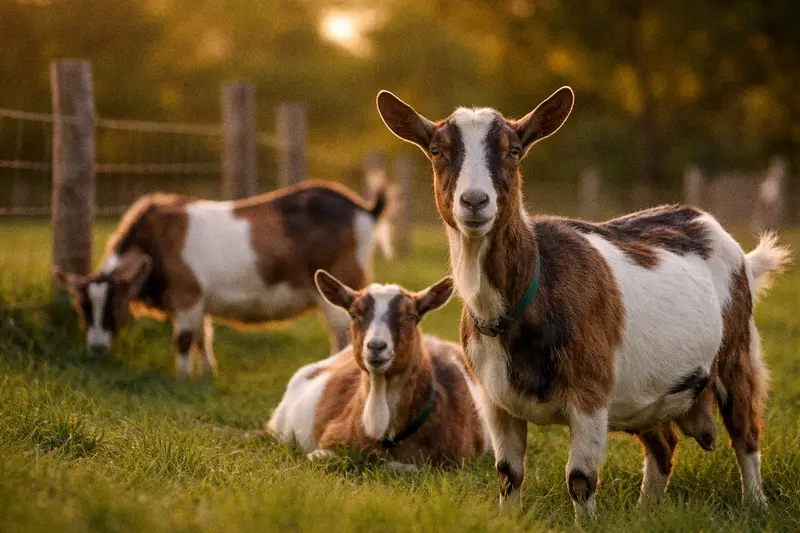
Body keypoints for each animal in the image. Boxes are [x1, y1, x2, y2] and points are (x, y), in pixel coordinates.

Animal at [54, 181, 389, 377]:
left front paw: (182, 377)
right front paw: (207, 374)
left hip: (342, 281)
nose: (97, 348)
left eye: (116, 306)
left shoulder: (187, 295)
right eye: (82, 308)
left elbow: (183, 339)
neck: (156, 244)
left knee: (342, 334)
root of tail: (365, 210)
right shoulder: (198, 302)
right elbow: (202, 337)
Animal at [376, 87, 791, 518]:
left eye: (514, 150)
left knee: (746, 434)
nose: (475, 201)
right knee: (663, 445)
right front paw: (508, 518)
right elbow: (508, 473)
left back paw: (756, 503)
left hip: (736, 353)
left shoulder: (590, 393)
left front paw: (586, 521)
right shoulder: (495, 402)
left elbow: (580, 478)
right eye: (437, 150)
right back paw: (645, 510)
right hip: (652, 394)